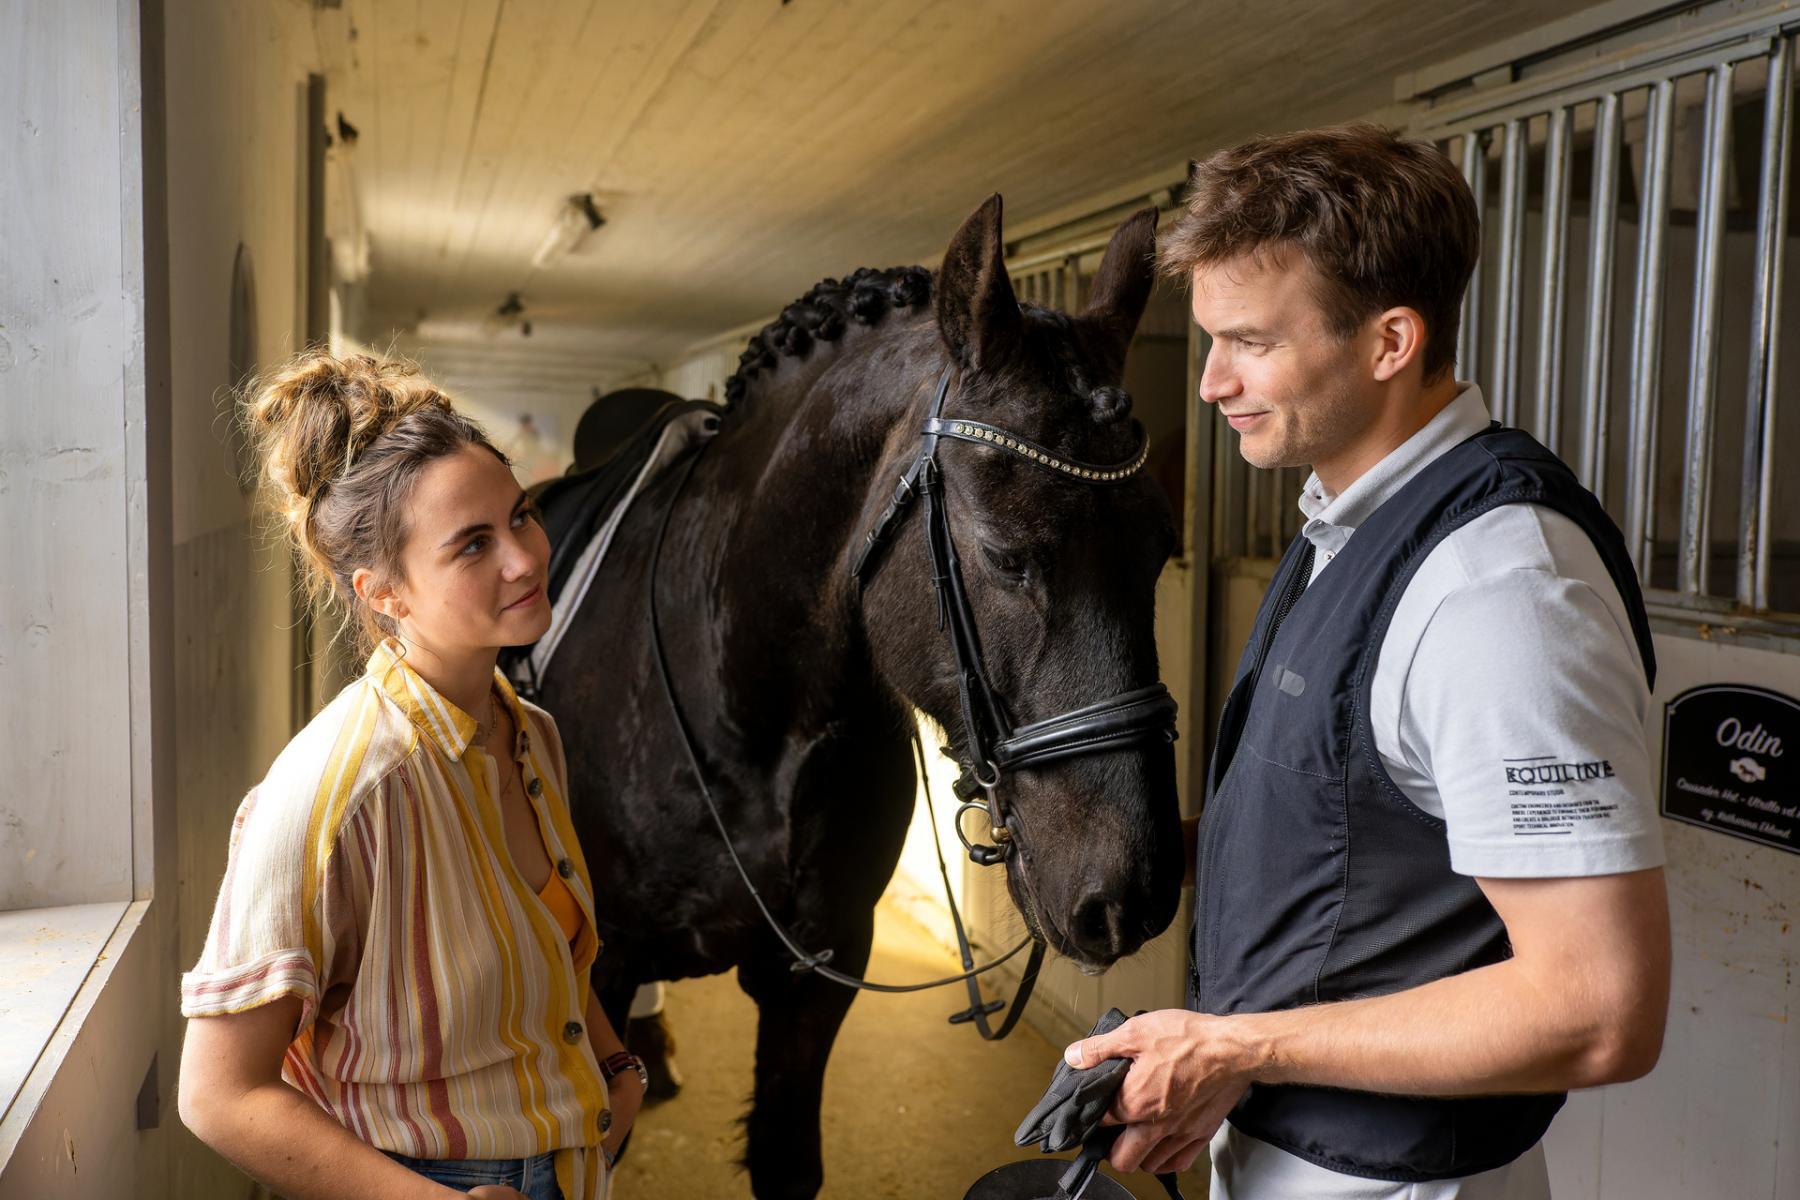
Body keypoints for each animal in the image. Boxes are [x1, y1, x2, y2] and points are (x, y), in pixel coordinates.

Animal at [540, 197, 1188, 1200]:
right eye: (1005, 554)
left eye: (1160, 546)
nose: (1137, 893)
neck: (745, 707)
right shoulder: (601, 965)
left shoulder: (822, 972)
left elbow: (786, 1161)